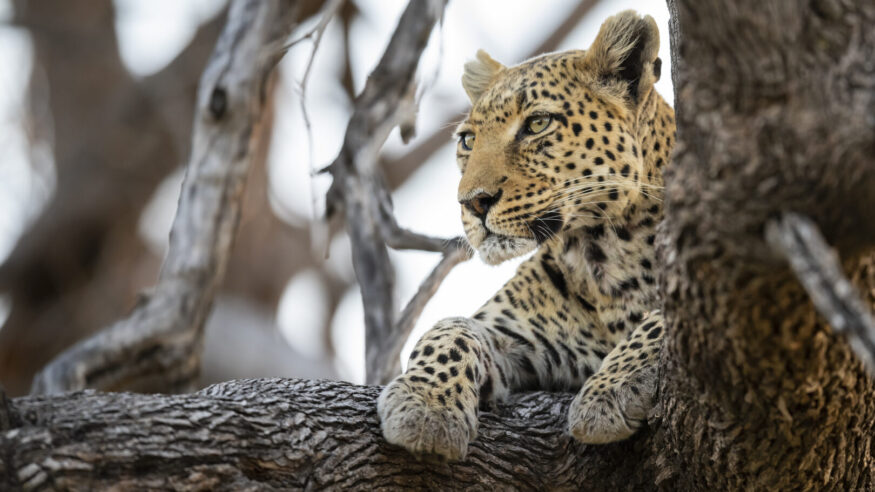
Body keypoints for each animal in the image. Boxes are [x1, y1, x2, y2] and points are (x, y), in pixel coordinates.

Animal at [378, 10, 675, 460]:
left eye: (537, 123)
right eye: (468, 140)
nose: (473, 202)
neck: (603, 252)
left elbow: (663, 319)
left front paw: (610, 389)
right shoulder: (516, 339)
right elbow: (451, 327)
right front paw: (425, 402)